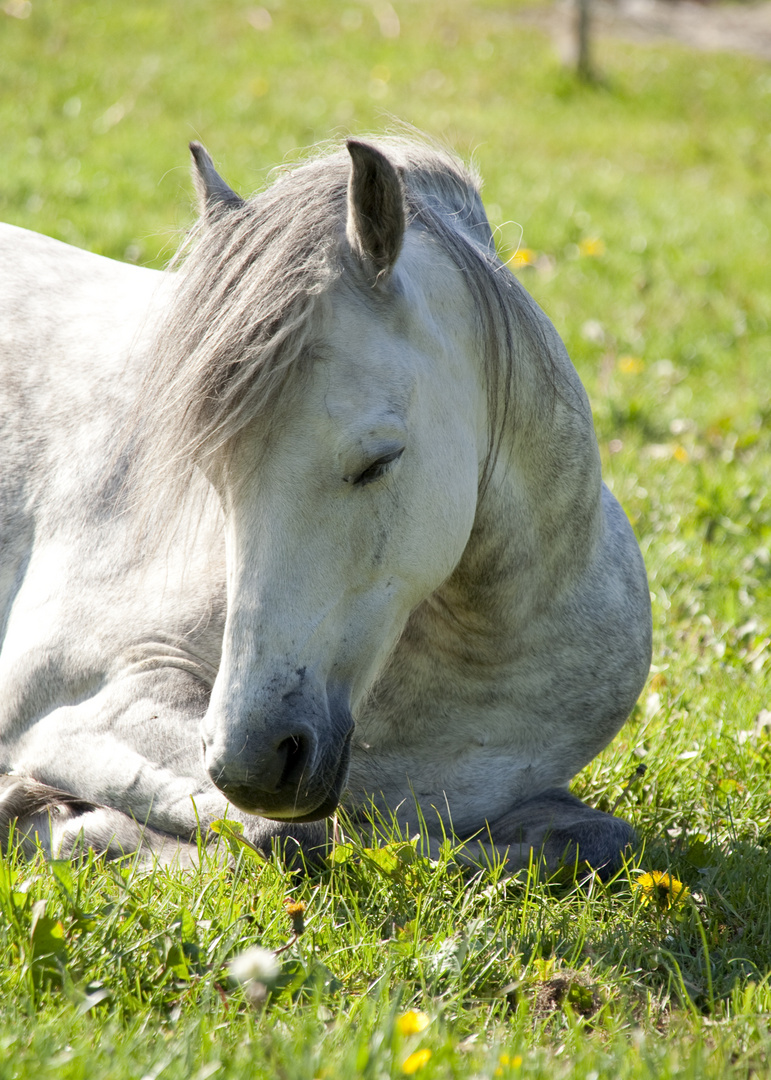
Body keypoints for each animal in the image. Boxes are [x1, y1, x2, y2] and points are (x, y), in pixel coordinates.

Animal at [0, 139, 647, 872]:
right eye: (210, 473)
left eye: (378, 461)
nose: (251, 761)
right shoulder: (70, 705)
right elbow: (291, 834)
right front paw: (57, 822)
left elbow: (597, 837)